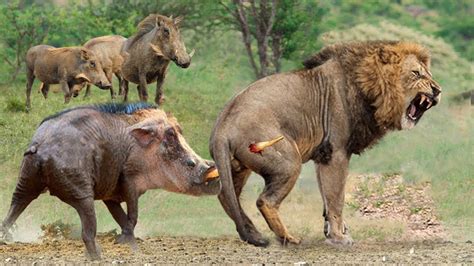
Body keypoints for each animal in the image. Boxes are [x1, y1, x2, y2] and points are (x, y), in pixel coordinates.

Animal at [209, 40, 442, 247]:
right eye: (416, 73)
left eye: (428, 73)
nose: (438, 90)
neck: (369, 87)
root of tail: (222, 127)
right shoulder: (337, 153)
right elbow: (336, 198)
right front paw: (339, 238)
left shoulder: (323, 156)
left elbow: (326, 198)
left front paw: (332, 232)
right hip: (287, 160)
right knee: (264, 201)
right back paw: (287, 238)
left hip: (238, 168)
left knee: (227, 197)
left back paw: (253, 233)